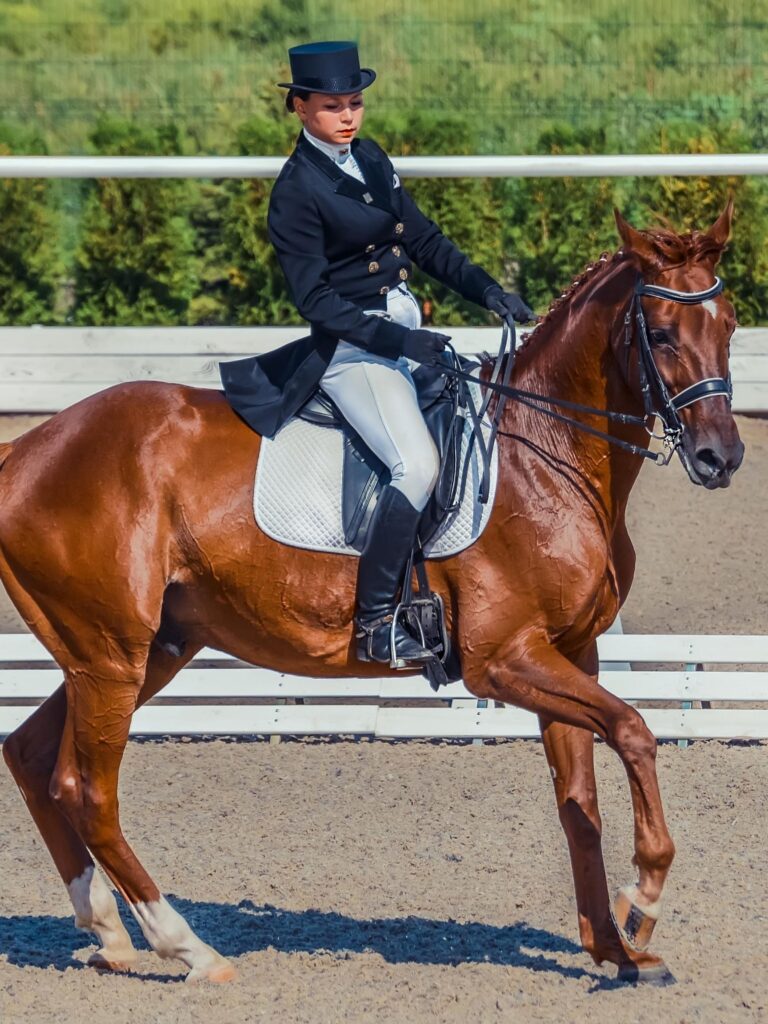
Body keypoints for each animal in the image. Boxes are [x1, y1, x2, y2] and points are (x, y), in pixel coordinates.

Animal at [0, 201, 745, 983]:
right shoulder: (503, 660)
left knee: (34, 758)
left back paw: (108, 932)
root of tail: (25, 450)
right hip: (111, 657)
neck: (548, 451)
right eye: (659, 335)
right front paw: (644, 899)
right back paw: (187, 946)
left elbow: (581, 804)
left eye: (728, 325)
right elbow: (634, 731)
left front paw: (614, 947)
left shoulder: (572, 651)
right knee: (90, 791)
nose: (720, 457)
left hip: (140, 652)